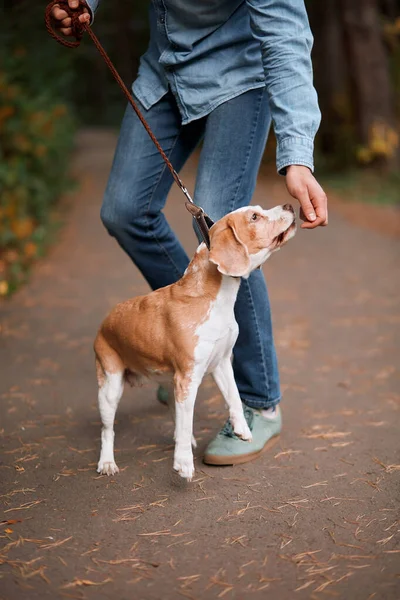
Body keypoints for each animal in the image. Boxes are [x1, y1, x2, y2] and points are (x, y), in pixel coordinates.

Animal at [93, 204, 294, 480]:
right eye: (254, 217)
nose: (290, 205)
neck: (212, 297)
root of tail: (105, 322)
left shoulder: (221, 362)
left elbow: (233, 397)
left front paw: (241, 428)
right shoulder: (188, 378)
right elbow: (187, 423)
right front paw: (183, 462)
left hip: (168, 380)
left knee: (174, 411)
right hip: (110, 388)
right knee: (107, 430)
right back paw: (107, 462)